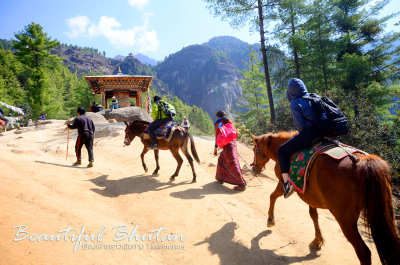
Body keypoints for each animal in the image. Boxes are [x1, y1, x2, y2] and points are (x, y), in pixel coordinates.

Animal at [252, 131, 398, 262]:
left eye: (254, 150)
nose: (254, 169)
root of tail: (363, 162)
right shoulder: (310, 194)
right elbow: (313, 215)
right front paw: (317, 241)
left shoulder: (283, 182)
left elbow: (272, 196)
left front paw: (270, 220)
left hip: (345, 219)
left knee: (363, 252)